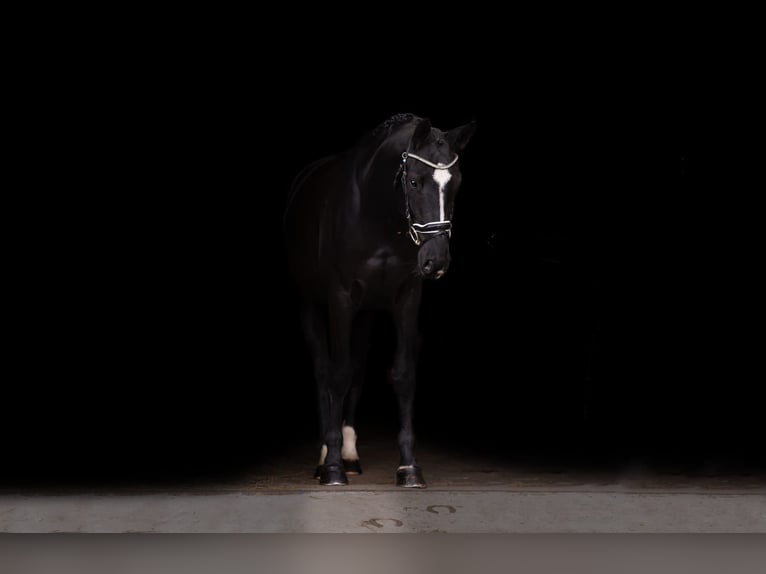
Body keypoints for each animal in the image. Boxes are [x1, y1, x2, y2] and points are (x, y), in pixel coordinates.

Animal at [283, 113, 476, 487]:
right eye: (414, 181)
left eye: (456, 184)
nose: (436, 261)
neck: (376, 216)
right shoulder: (340, 298)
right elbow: (337, 374)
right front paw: (332, 469)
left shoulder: (406, 297)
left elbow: (402, 374)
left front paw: (409, 468)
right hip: (309, 305)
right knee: (323, 372)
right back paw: (326, 457)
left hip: (366, 314)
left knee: (357, 370)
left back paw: (350, 455)